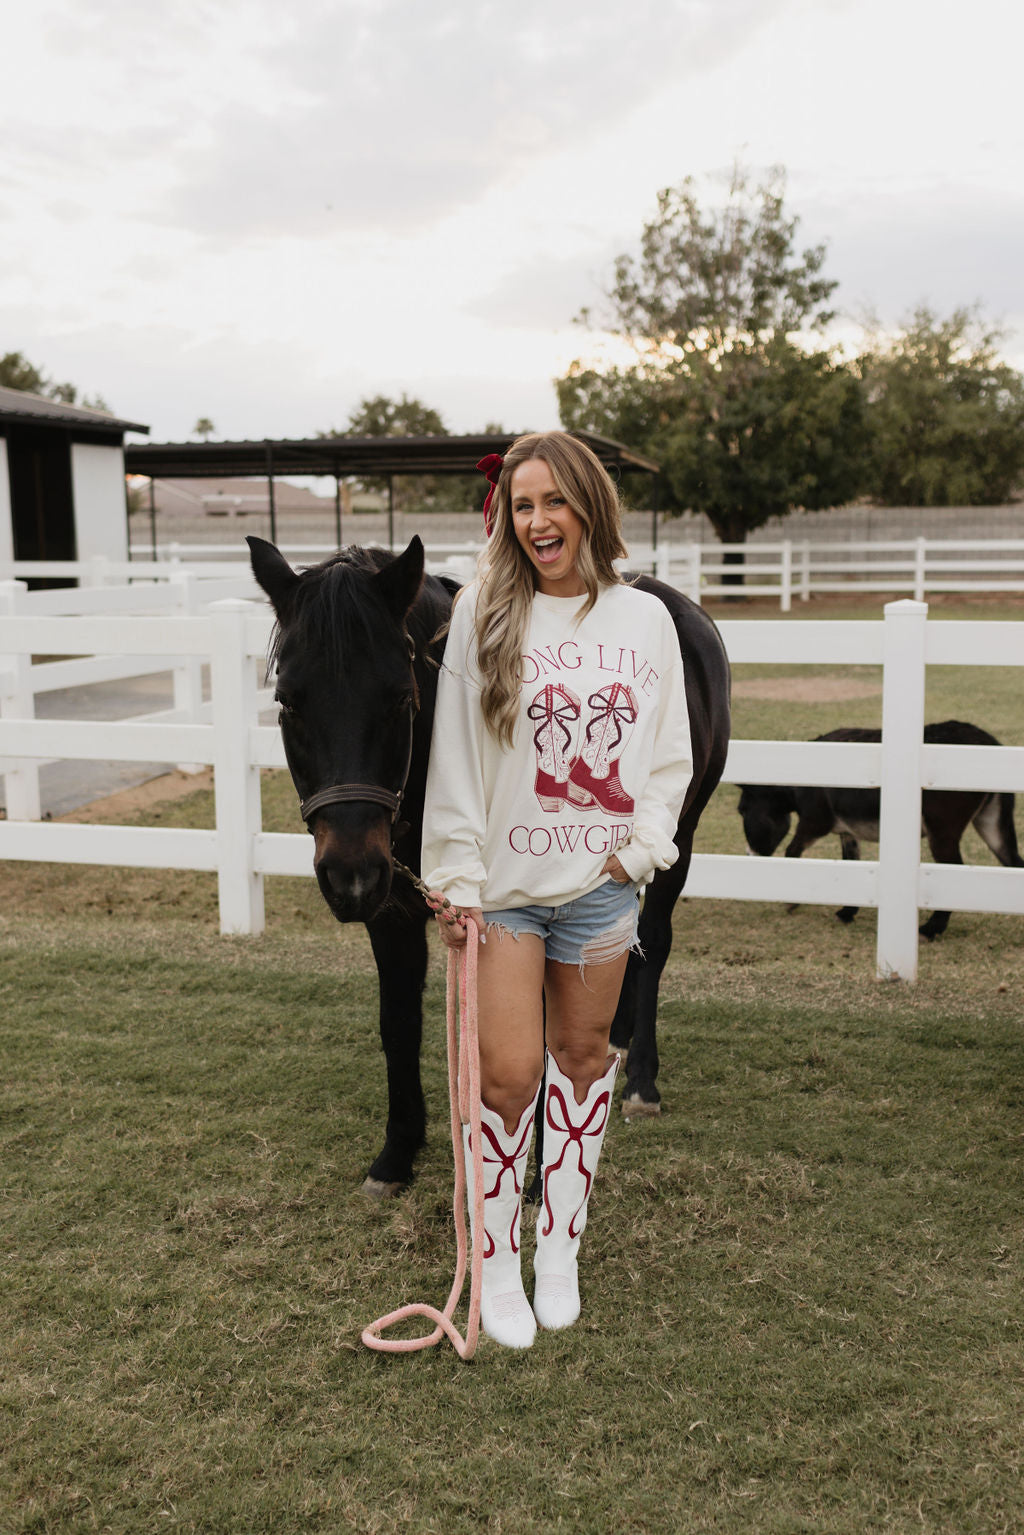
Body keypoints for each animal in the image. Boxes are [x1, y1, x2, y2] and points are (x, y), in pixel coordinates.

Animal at [248, 534, 727, 1191]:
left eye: (400, 697)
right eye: (288, 702)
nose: (350, 875)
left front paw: (539, 1168)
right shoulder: (394, 912)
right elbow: (398, 1021)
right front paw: (397, 1152)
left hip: (680, 831)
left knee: (652, 939)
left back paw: (641, 1080)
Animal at [739, 718, 1019, 933]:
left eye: (741, 811)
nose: (749, 855)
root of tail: (991, 744)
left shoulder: (815, 822)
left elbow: (792, 851)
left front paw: (791, 901)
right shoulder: (847, 832)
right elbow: (850, 862)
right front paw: (847, 912)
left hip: (942, 830)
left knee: (953, 870)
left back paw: (932, 928)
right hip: (990, 822)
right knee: (1013, 861)